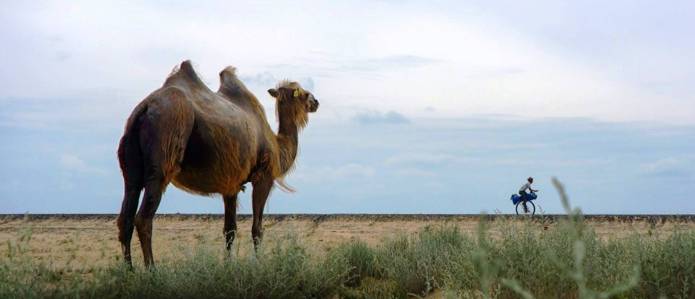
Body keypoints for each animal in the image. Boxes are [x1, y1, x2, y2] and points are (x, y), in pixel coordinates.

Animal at [116, 60, 318, 268]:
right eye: (304, 92)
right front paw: (258, 263)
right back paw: (152, 270)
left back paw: (129, 270)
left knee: (126, 214)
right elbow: (257, 228)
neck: (277, 146)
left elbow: (230, 229)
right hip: (164, 145)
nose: (316, 102)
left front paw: (228, 265)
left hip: (130, 162)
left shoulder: (231, 184)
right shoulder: (264, 176)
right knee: (144, 218)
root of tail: (145, 108)